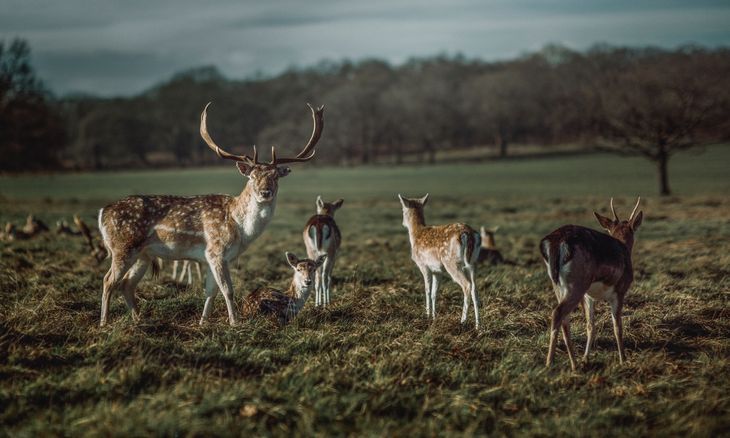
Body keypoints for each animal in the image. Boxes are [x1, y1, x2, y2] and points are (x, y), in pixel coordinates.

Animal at [96, 102, 322, 326]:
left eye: (275, 176)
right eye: (252, 176)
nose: (265, 192)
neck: (239, 226)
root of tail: (102, 212)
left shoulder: (212, 257)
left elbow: (211, 291)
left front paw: (203, 323)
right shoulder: (216, 250)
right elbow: (228, 290)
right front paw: (234, 323)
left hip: (143, 254)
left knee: (126, 284)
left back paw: (139, 320)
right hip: (123, 247)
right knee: (108, 280)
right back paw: (104, 323)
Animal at [396, 194, 480, 328]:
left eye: (403, 210)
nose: (403, 223)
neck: (416, 235)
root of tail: (469, 234)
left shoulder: (423, 265)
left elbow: (427, 290)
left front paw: (427, 315)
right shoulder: (437, 271)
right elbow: (434, 293)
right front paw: (434, 317)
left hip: (452, 262)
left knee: (467, 285)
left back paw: (462, 321)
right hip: (473, 262)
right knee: (475, 288)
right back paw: (478, 325)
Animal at [536, 197, 640, 372]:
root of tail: (555, 241)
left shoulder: (588, 296)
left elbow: (590, 325)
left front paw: (586, 358)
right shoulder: (620, 291)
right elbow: (617, 326)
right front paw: (623, 360)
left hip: (558, 285)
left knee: (565, 319)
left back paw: (574, 363)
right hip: (577, 284)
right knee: (557, 313)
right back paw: (550, 363)